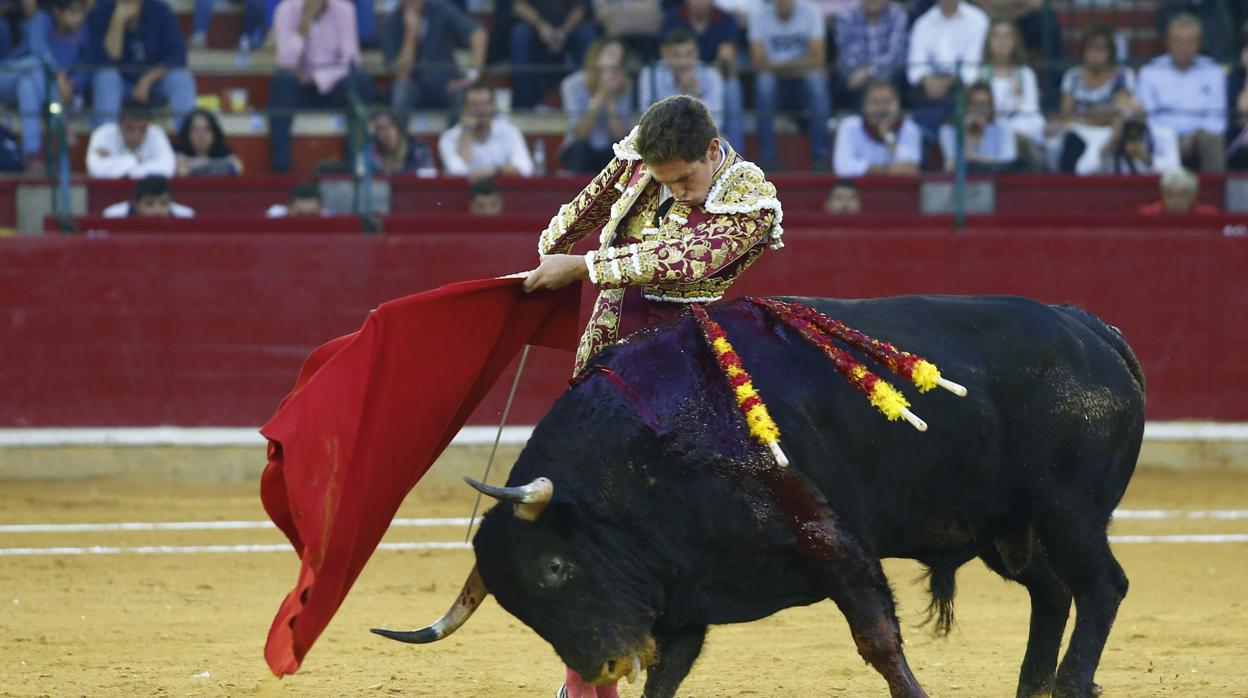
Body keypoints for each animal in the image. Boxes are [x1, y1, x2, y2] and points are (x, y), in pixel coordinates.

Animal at [374, 294, 1143, 698]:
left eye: (557, 568)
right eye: (519, 607)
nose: (602, 668)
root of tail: (1093, 329)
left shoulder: (837, 544)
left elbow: (879, 640)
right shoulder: (682, 595)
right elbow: (667, 671)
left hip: (1069, 513)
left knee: (1102, 586)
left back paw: (1072, 684)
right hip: (1008, 531)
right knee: (1053, 592)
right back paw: (1033, 688)